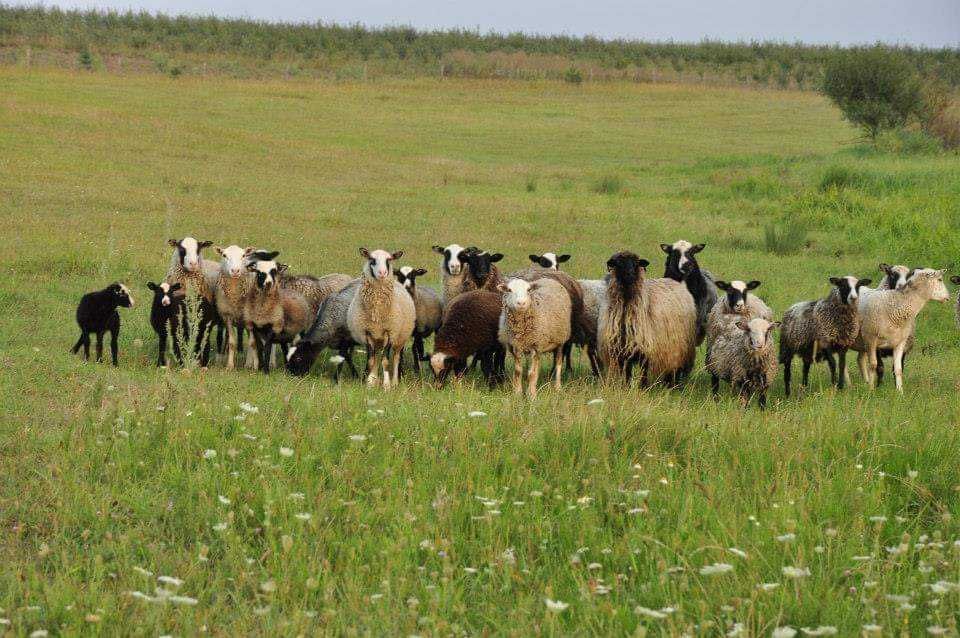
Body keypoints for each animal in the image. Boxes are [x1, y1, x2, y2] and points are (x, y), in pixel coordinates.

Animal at [348, 249, 416, 390]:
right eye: (372, 259)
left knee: (396, 358)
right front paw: (369, 383)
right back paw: (375, 379)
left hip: (399, 339)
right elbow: (371, 360)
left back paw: (395, 381)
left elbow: (385, 361)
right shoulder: (367, 333)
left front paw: (387, 385)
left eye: (389, 259)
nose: (382, 273)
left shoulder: (390, 332)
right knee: (377, 356)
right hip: (377, 339)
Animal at [592, 252, 696, 388]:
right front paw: (626, 387)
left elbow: (643, 373)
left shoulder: (647, 351)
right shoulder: (621, 351)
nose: (629, 275)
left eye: (636, 264)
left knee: (676, 369)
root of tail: (674, 281)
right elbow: (627, 373)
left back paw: (674, 386)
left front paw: (643, 388)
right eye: (618, 263)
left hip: (681, 348)